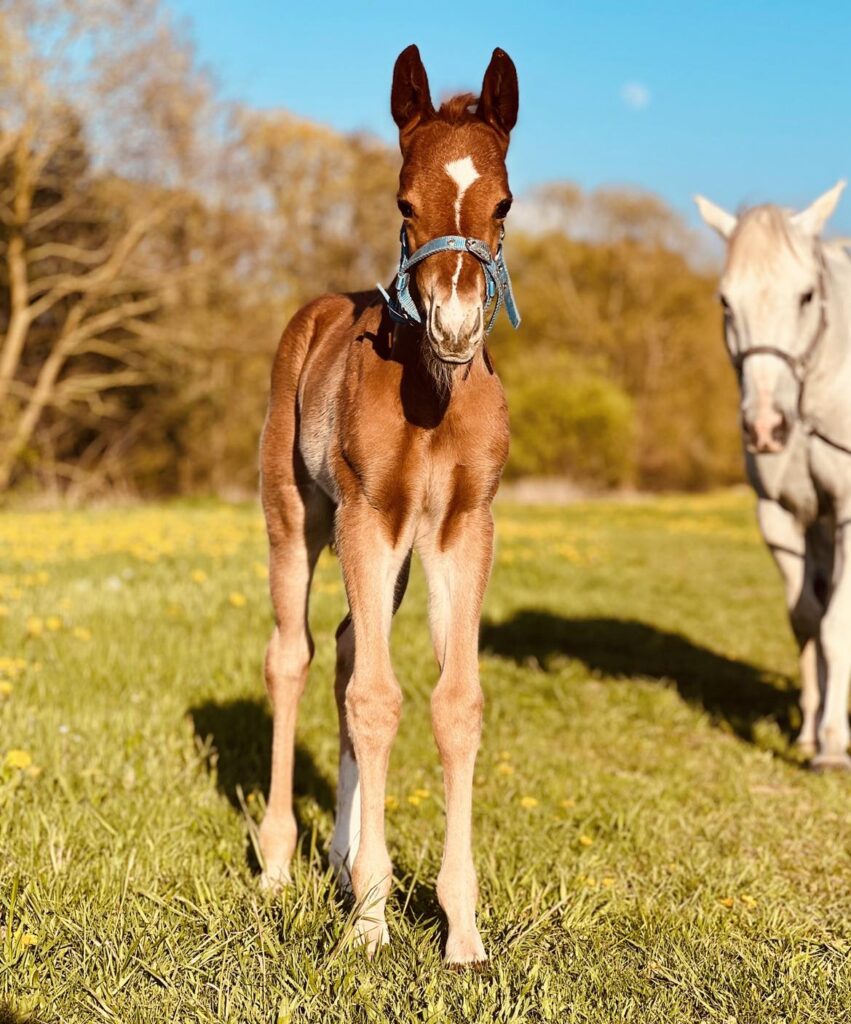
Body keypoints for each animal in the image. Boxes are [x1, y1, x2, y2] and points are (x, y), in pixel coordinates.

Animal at [256, 44, 520, 962]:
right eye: (405, 202)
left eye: (502, 203)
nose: (454, 324)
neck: (433, 394)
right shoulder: (367, 517)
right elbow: (378, 700)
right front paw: (371, 923)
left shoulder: (460, 529)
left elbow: (455, 703)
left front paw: (461, 930)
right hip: (298, 515)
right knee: (293, 655)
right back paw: (277, 864)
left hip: (396, 553)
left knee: (341, 649)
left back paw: (337, 861)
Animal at [696, 182, 847, 770]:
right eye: (725, 301)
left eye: (805, 296)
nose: (765, 427)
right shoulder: (781, 517)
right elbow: (807, 619)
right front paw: (810, 731)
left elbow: (835, 623)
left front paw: (833, 745)